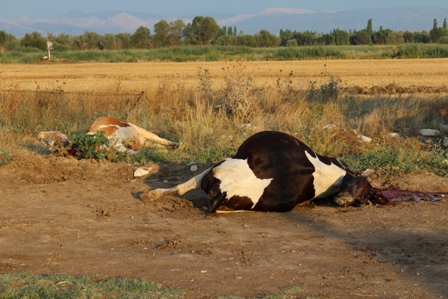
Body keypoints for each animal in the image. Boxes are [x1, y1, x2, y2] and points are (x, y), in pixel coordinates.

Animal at [145, 131, 380, 213]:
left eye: (362, 198)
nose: (344, 200)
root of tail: (224, 188)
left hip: (219, 167)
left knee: (186, 184)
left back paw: (153, 194)